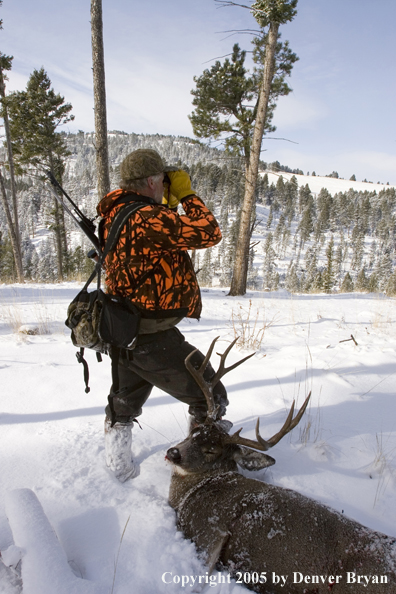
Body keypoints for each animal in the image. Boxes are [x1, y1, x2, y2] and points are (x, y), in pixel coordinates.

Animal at [166, 336, 396, 588]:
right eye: (194, 432)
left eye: (211, 450)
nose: (173, 453)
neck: (192, 492)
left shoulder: (210, 526)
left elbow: (202, 574)